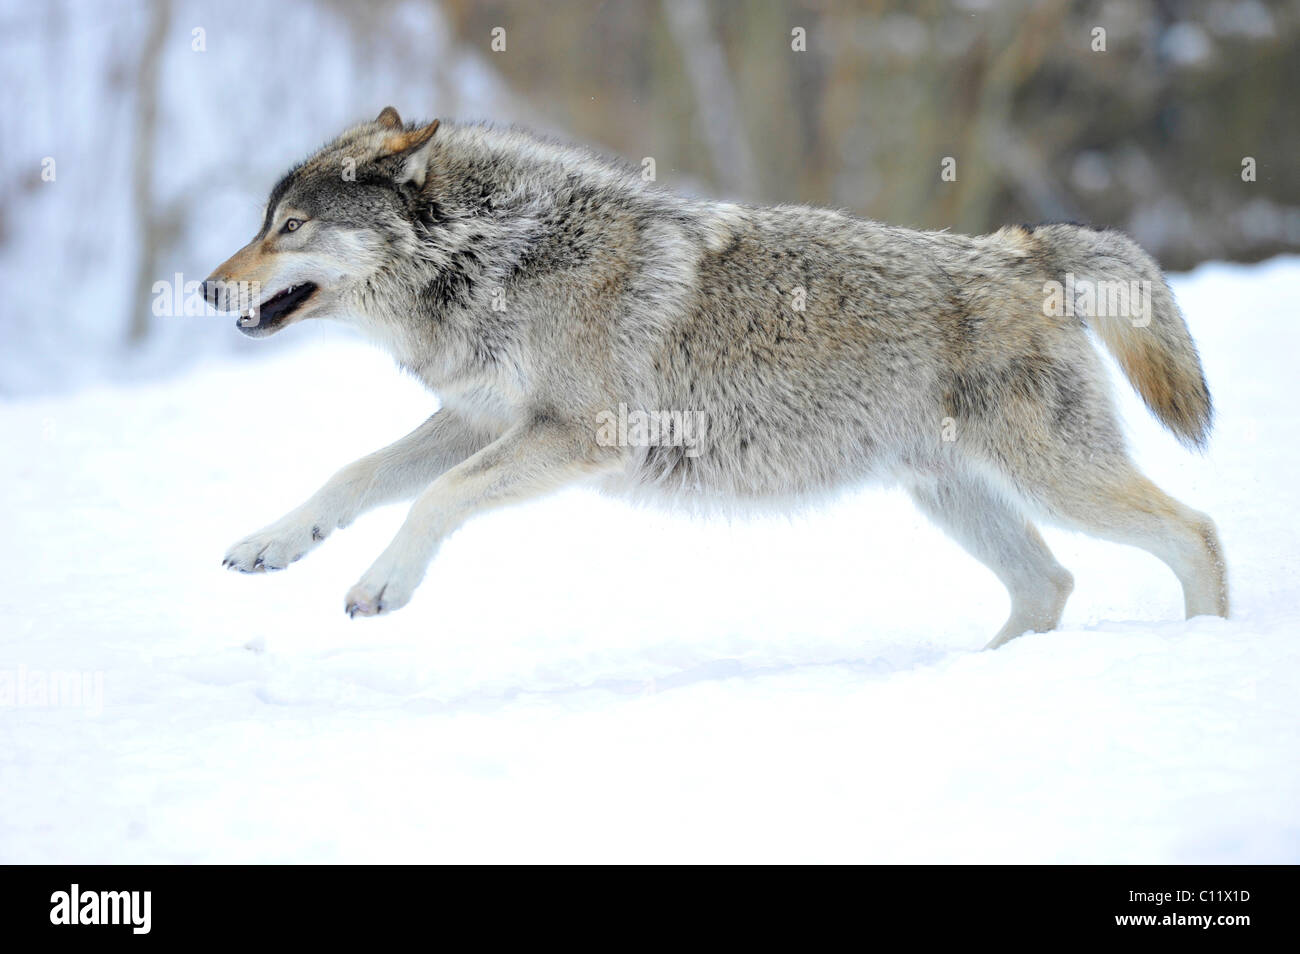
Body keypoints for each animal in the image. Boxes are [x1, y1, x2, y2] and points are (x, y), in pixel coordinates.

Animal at [203, 107, 1228, 647]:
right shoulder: (478, 420)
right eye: (264, 223)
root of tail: (1022, 247)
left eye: (289, 227)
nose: (208, 289)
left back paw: (1205, 648)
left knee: (1196, 532)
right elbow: (356, 475)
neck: (498, 256)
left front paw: (384, 585)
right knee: (1047, 585)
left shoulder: (570, 438)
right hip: (954, 497)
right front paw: (272, 544)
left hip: (1052, 481)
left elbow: (434, 499)